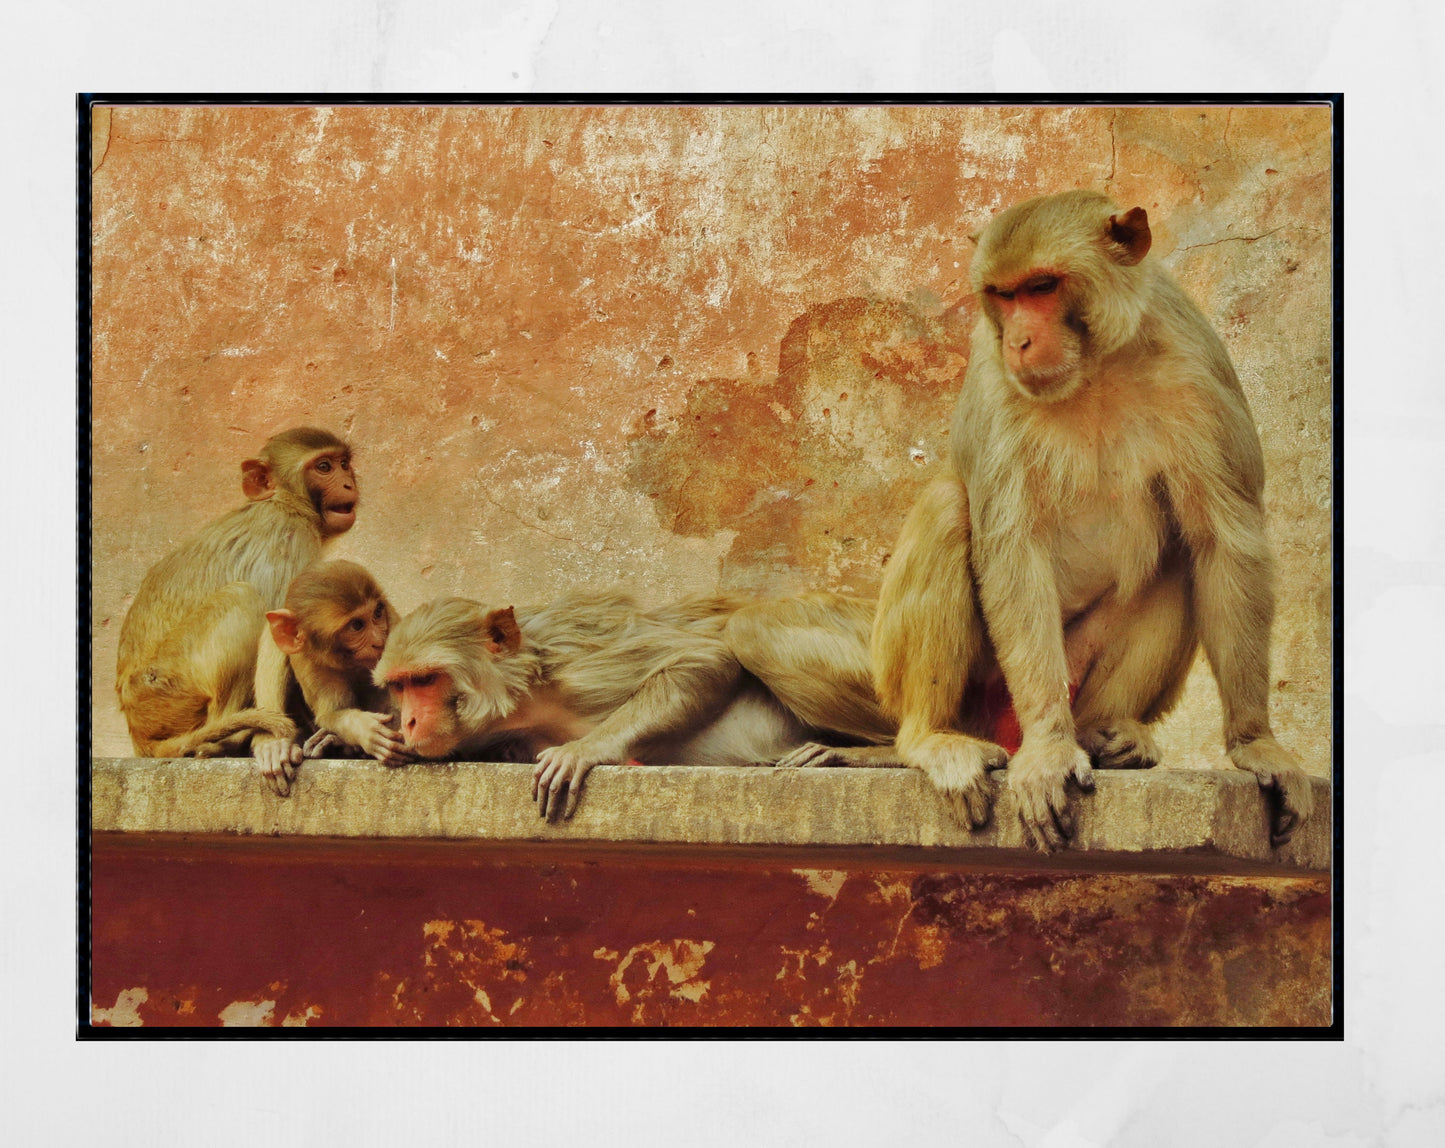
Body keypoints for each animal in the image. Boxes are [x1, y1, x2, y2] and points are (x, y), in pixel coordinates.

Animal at [115, 427, 360, 759]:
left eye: (344, 464)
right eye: (324, 467)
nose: (348, 482)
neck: (284, 502)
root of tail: (136, 729)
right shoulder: (290, 537)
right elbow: (283, 631)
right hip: (165, 687)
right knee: (241, 598)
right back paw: (225, 741)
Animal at [249, 560, 412, 795]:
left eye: (377, 613)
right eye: (356, 625)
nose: (379, 641)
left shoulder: (392, 626)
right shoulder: (311, 661)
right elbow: (331, 714)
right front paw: (364, 730)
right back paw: (274, 744)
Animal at [375, 588, 902, 821]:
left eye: (425, 679)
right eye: (399, 686)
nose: (410, 720)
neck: (527, 697)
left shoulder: (580, 666)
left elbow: (705, 658)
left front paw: (584, 750)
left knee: (751, 626)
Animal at [870, 189, 1313, 852]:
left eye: (1042, 286)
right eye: (1003, 295)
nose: (1019, 342)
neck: (1097, 367)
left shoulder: (1201, 372)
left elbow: (1221, 542)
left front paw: (1256, 742)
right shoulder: (994, 382)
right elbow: (1011, 547)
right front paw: (1050, 751)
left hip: (1077, 676)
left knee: (1181, 556)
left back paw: (1114, 734)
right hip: (989, 693)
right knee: (951, 508)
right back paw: (938, 736)